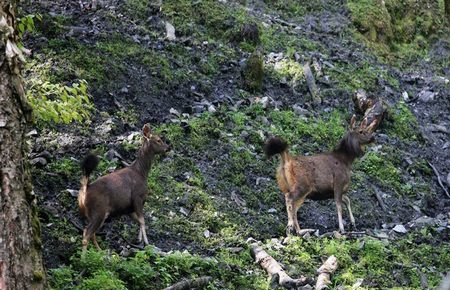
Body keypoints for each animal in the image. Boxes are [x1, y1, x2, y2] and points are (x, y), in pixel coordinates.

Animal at [77, 123, 169, 253]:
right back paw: (85, 257)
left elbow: (139, 221)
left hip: (92, 213)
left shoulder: (128, 208)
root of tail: (85, 189)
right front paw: (146, 243)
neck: (141, 173)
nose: (168, 148)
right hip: (98, 211)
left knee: (91, 232)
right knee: (86, 233)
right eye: (158, 140)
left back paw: (99, 250)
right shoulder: (137, 198)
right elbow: (142, 220)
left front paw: (139, 240)